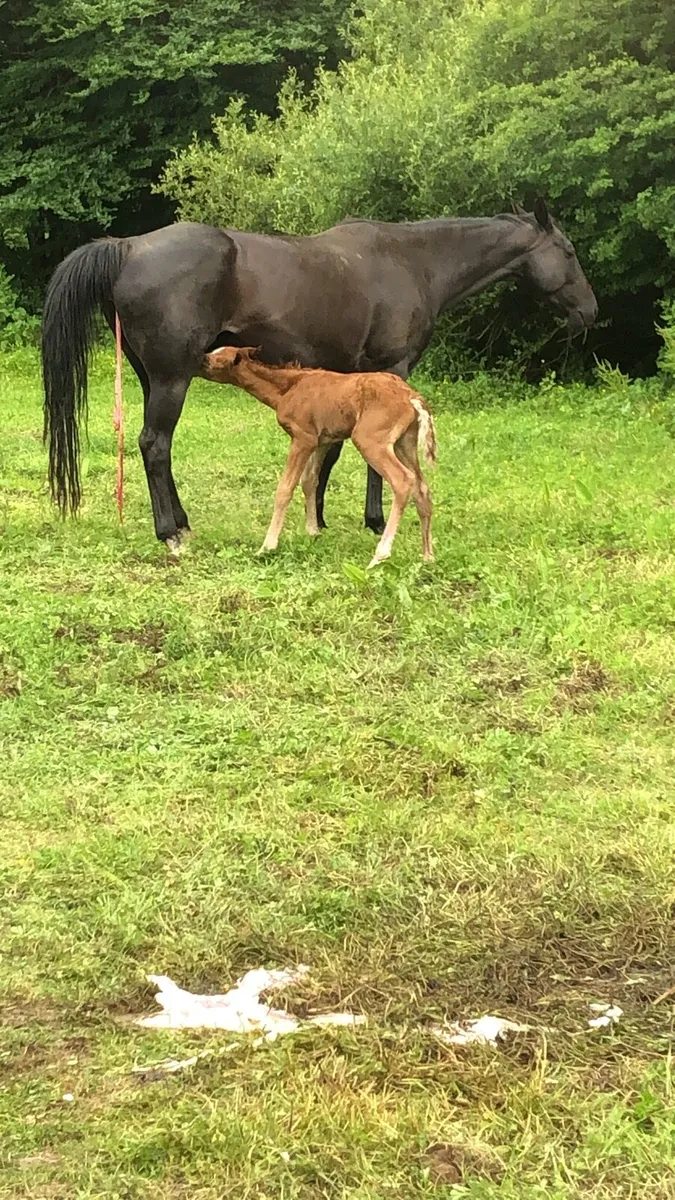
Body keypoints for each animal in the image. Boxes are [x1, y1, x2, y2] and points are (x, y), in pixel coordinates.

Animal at [41, 200, 597, 552]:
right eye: (568, 252)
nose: (590, 311)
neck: (413, 262)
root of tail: (128, 247)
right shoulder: (390, 370)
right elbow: (376, 463)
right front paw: (374, 521)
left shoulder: (344, 383)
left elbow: (328, 457)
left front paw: (319, 519)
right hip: (172, 379)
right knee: (155, 444)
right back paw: (170, 534)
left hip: (149, 378)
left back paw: (182, 523)